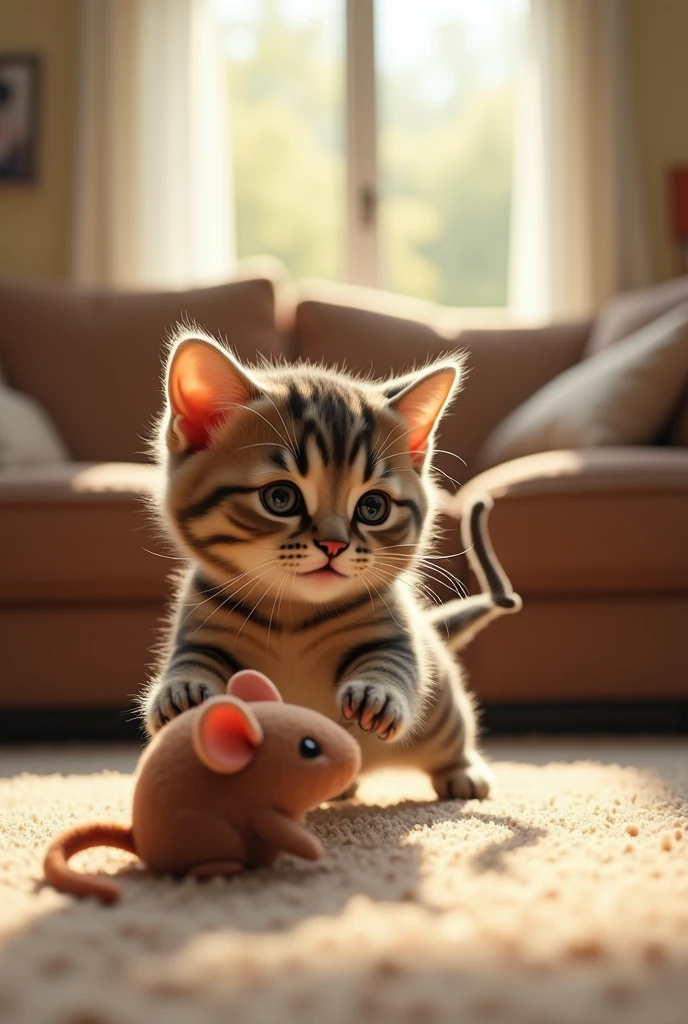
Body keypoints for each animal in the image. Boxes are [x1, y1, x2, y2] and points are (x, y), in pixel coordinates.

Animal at [138, 329, 522, 798]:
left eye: (373, 507)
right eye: (280, 498)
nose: (334, 544)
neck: (292, 615)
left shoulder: (391, 632)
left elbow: (392, 665)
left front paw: (378, 696)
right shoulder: (202, 628)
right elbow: (192, 659)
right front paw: (183, 689)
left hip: (441, 714)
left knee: (454, 734)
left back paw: (461, 772)